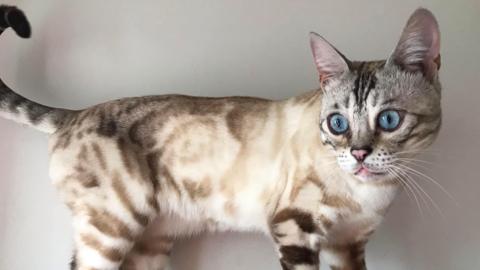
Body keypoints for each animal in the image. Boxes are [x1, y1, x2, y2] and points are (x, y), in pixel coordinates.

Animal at [0, 4, 442, 270]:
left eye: (389, 119)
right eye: (337, 124)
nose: (359, 153)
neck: (372, 194)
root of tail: (75, 114)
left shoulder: (347, 245)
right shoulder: (296, 228)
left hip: (149, 245)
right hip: (113, 228)